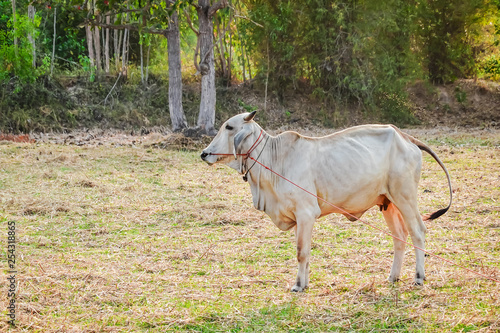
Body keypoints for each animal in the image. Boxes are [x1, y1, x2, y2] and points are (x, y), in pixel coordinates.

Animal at [200, 111, 454, 290]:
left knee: (418, 232)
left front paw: (298, 286)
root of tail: (404, 136)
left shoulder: (305, 213)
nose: (204, 153)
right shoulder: (298, 217)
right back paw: (393, 277)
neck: (274, 159)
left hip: (405, 197)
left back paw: (419, 278)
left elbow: (301, 252)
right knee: (400, 237)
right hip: (387, 203)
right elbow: (305, 252)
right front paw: (305, 282)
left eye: (229, 127)